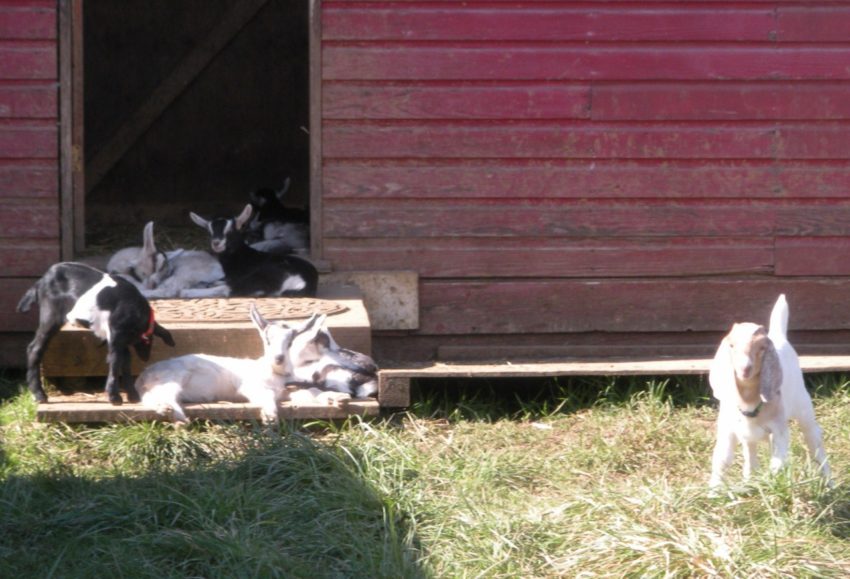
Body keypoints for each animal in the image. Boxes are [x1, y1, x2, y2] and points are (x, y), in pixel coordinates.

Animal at [17, 262, 174, 404]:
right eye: (147, 339)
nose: (146, 357)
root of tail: (41, 281)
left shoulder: (122, 339)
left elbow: (126, 361)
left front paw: (133, 396)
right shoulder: (116, 333)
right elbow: (115, 360)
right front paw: (114, 397)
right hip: (50, 314)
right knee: (35, 348)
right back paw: (39, 395)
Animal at [132, 306, 344, 424]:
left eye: (290, 342)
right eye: (267, 340)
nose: (278, 358)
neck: (272, 372)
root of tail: (144, 375)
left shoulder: (285, 390)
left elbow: (311, 392)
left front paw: (336, 398)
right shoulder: (251, 387)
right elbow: (266, 396)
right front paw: (269, 416)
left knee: (150, 397)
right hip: (172, 378)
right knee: (160, 396)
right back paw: (176, 416)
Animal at [186, 205, 318, 300]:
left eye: (230, 230)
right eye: (209, 232)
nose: (216, 243)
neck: (245, 256)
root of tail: (306, 282)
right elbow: (217, 280)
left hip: (263, 275)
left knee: (229, 290)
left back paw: (188, 292)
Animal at [704, 294, 832, 490]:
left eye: (762, 348)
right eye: (731, 345)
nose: (745, 369)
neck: (748, 399)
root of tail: (779, 335)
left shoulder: (779, 429)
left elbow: (778, 461)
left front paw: (771, 483)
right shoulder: (727, 428)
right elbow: (722, 459)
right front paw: (714, 491)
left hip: (803, 407)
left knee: (814, 439)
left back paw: (829, 482)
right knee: (750, 451)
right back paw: (750, 479)